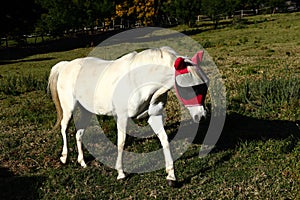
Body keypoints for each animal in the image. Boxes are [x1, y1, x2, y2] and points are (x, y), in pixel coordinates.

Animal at [48, 46, 209, 185]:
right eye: (190, 88)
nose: (201, 117)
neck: (139, 80)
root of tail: (66, 66)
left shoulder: (154, 116)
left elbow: (164, 140)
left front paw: (171, 176)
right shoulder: (122, 117)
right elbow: (121, 143)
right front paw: (120, 173)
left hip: (87, 111)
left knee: (79, 133)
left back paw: (82, 161)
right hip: (69, 108)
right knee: (63, 127)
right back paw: (64, 157)